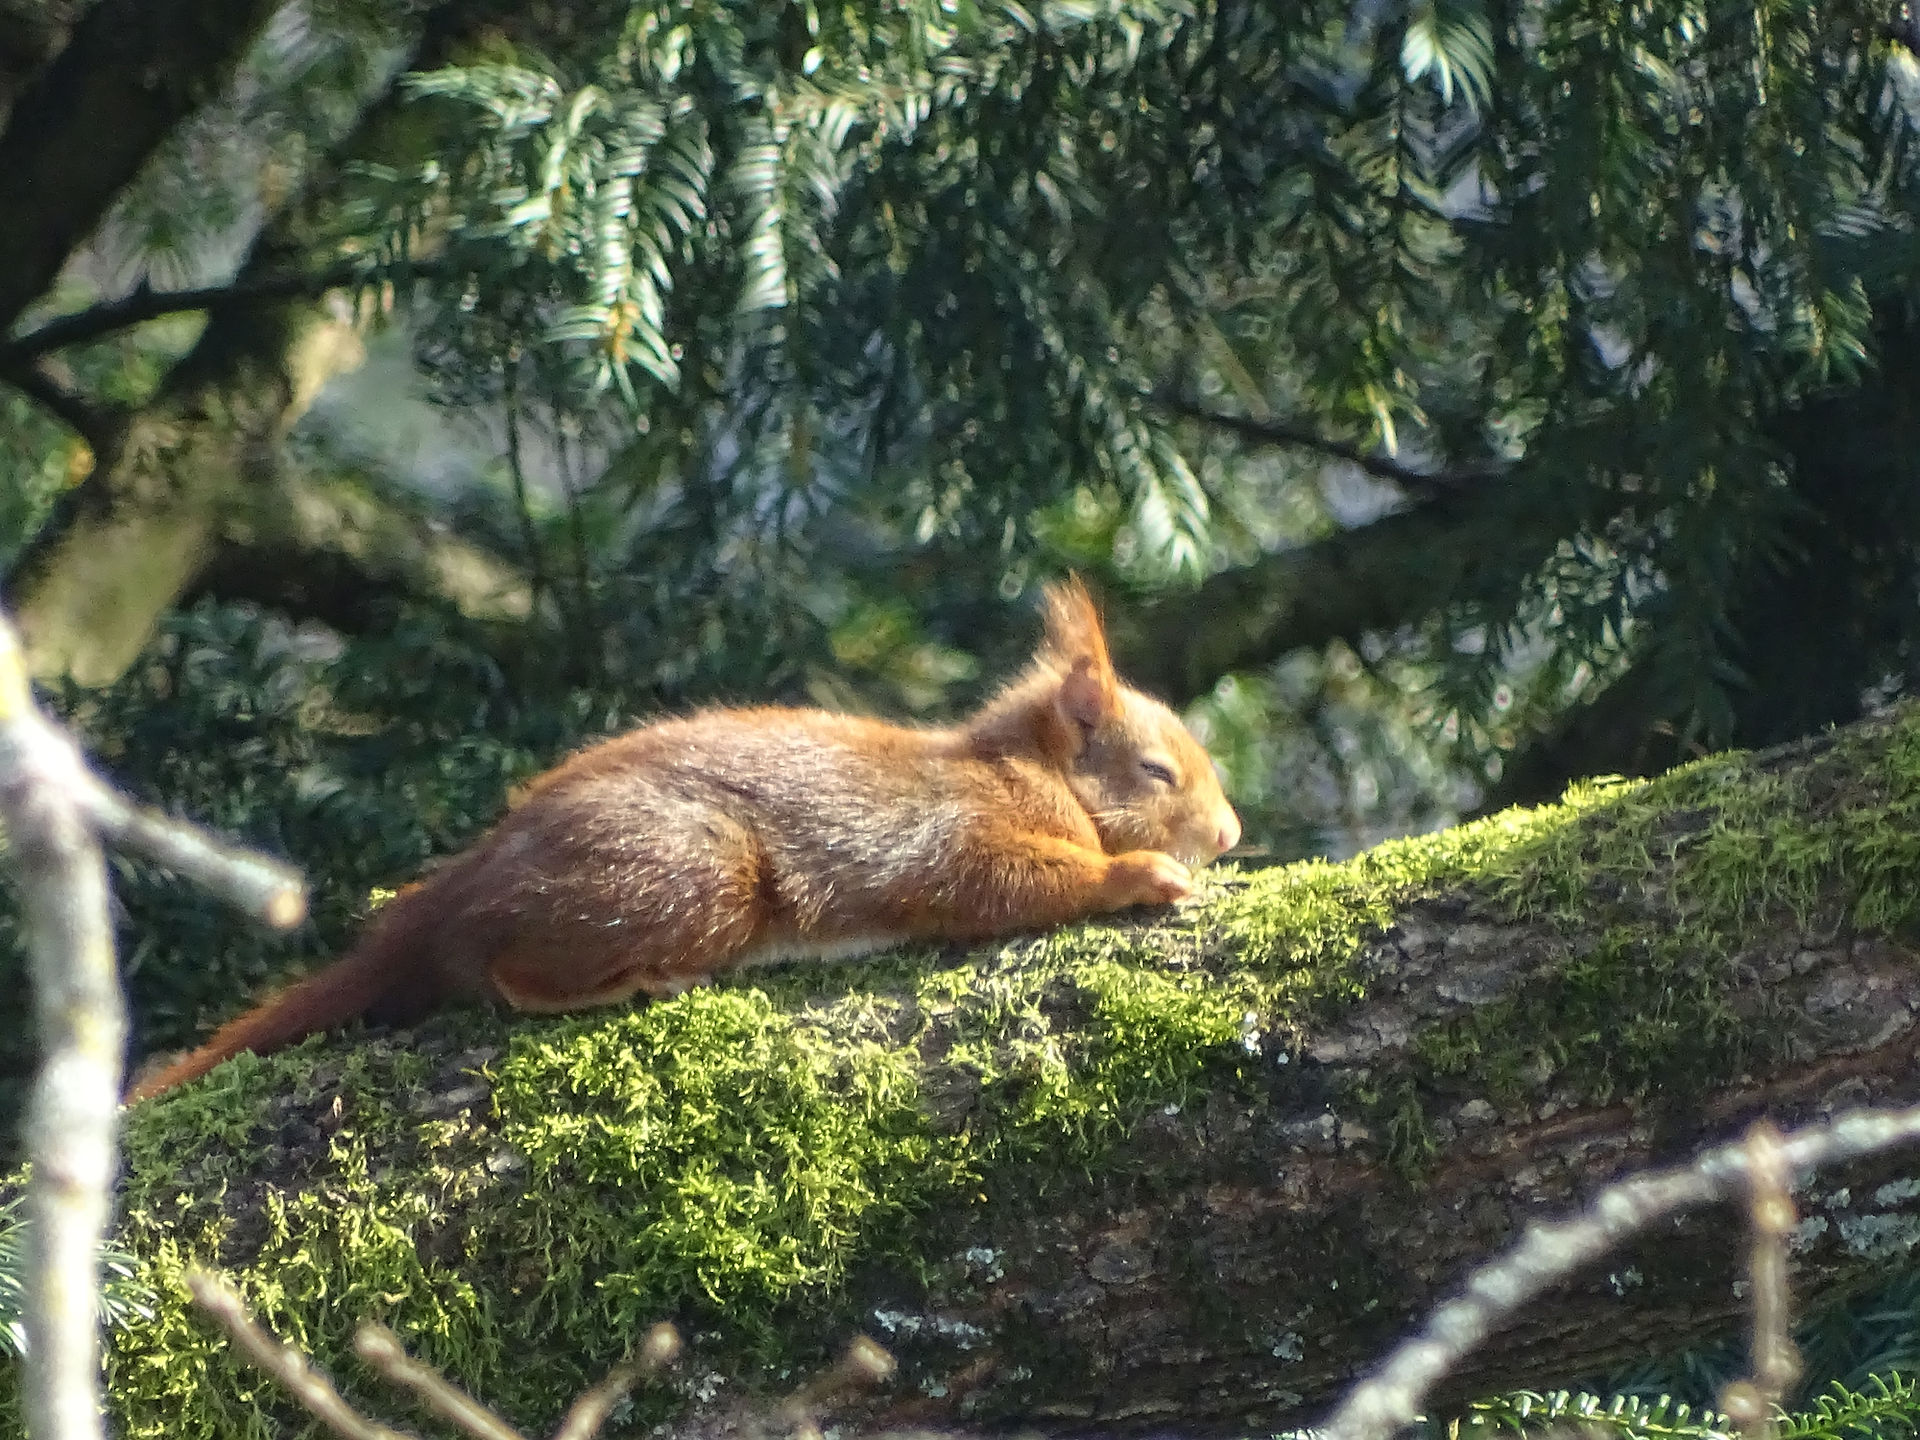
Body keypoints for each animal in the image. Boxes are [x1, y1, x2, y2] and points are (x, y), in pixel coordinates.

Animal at [129, 578, 1241, 1101]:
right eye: (1156, 772)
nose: (1230, 834)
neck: (1022, 769)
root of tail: (443, 896)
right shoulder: (954, 831)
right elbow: (999, 882)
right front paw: (1138, 872)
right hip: (692, 874)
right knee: (508, 975)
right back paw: (636, 982)